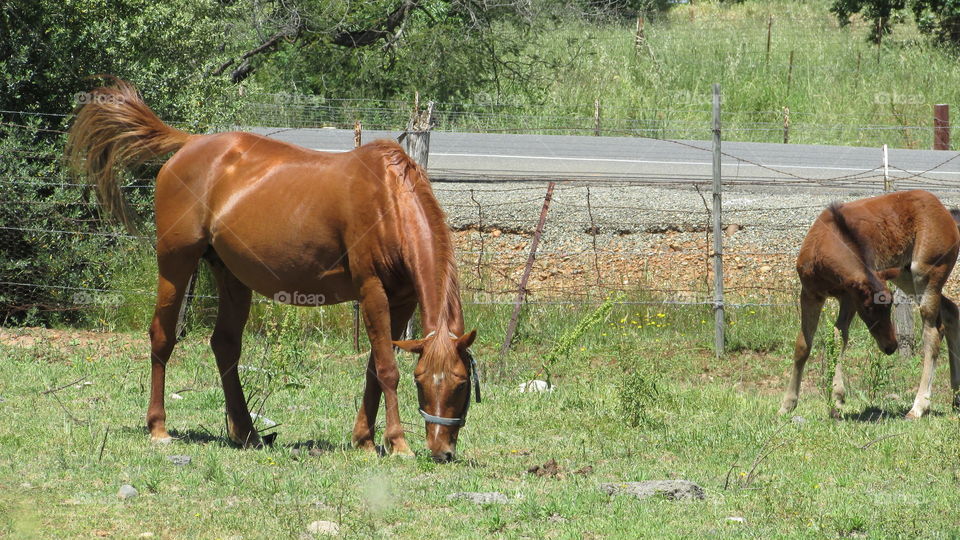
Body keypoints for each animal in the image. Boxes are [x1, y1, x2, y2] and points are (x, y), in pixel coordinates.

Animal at [66, 77, 478, 461]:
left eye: (460, 383)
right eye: (420, 380)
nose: (441, 450)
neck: (388, 201)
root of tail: (189, 143)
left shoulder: (402, 298)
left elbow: (374, 368)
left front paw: (364, 438)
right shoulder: (372, 290)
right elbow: (387, 368)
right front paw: (397, 442)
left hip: (231, 276)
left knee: (225, 345)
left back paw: (245, 431)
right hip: (174, 263)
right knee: (162, 337)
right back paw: (158, 427)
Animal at [779, 189, 960, 419]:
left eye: (889, 306)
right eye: (868, 308)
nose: (890, 346)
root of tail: (947, 214)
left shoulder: (848, 298)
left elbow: (838, 337)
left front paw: (836, 397)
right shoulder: (813, 294)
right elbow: (808, 344)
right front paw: (789, 404)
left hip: (925, 274)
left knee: (934, 333)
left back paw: (918, 406)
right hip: (904, 275)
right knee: (951, 311)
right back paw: (956, 398)